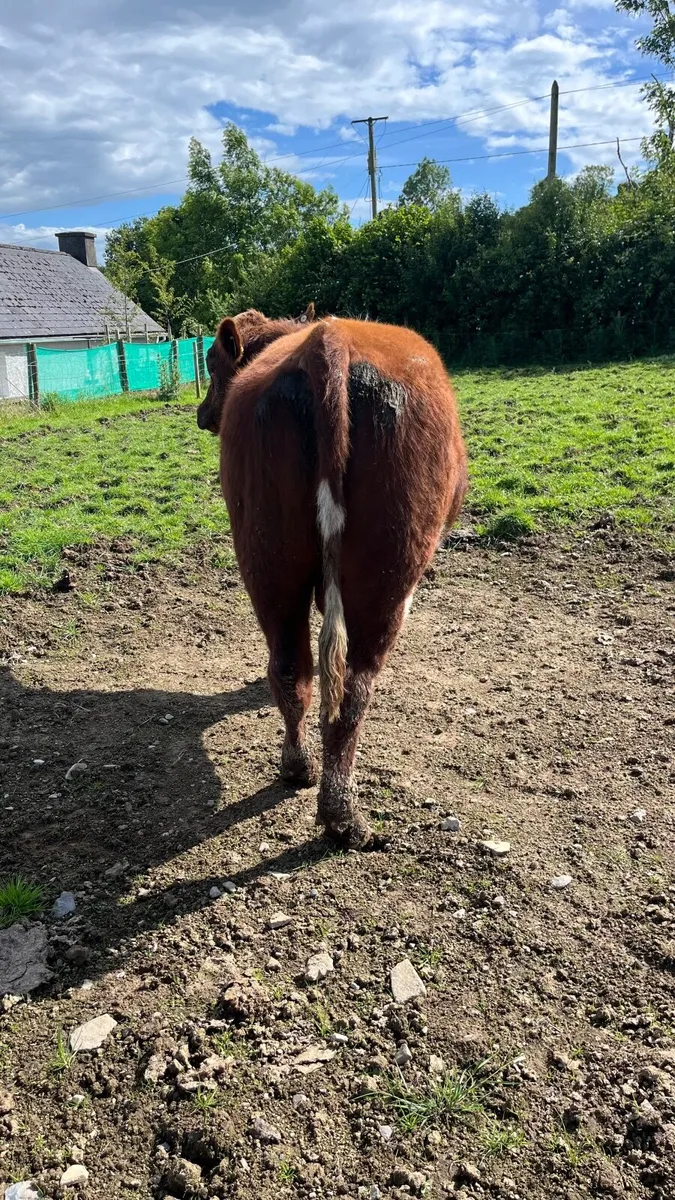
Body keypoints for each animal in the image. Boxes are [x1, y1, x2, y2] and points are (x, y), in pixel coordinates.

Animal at [197, 308, 467, 849]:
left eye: (213, 363)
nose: (202, 413)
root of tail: (329, 340)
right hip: (387, 577)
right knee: (355, 688)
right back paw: (342, 814)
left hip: (269, 563)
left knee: (290, 669)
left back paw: (298, 771)